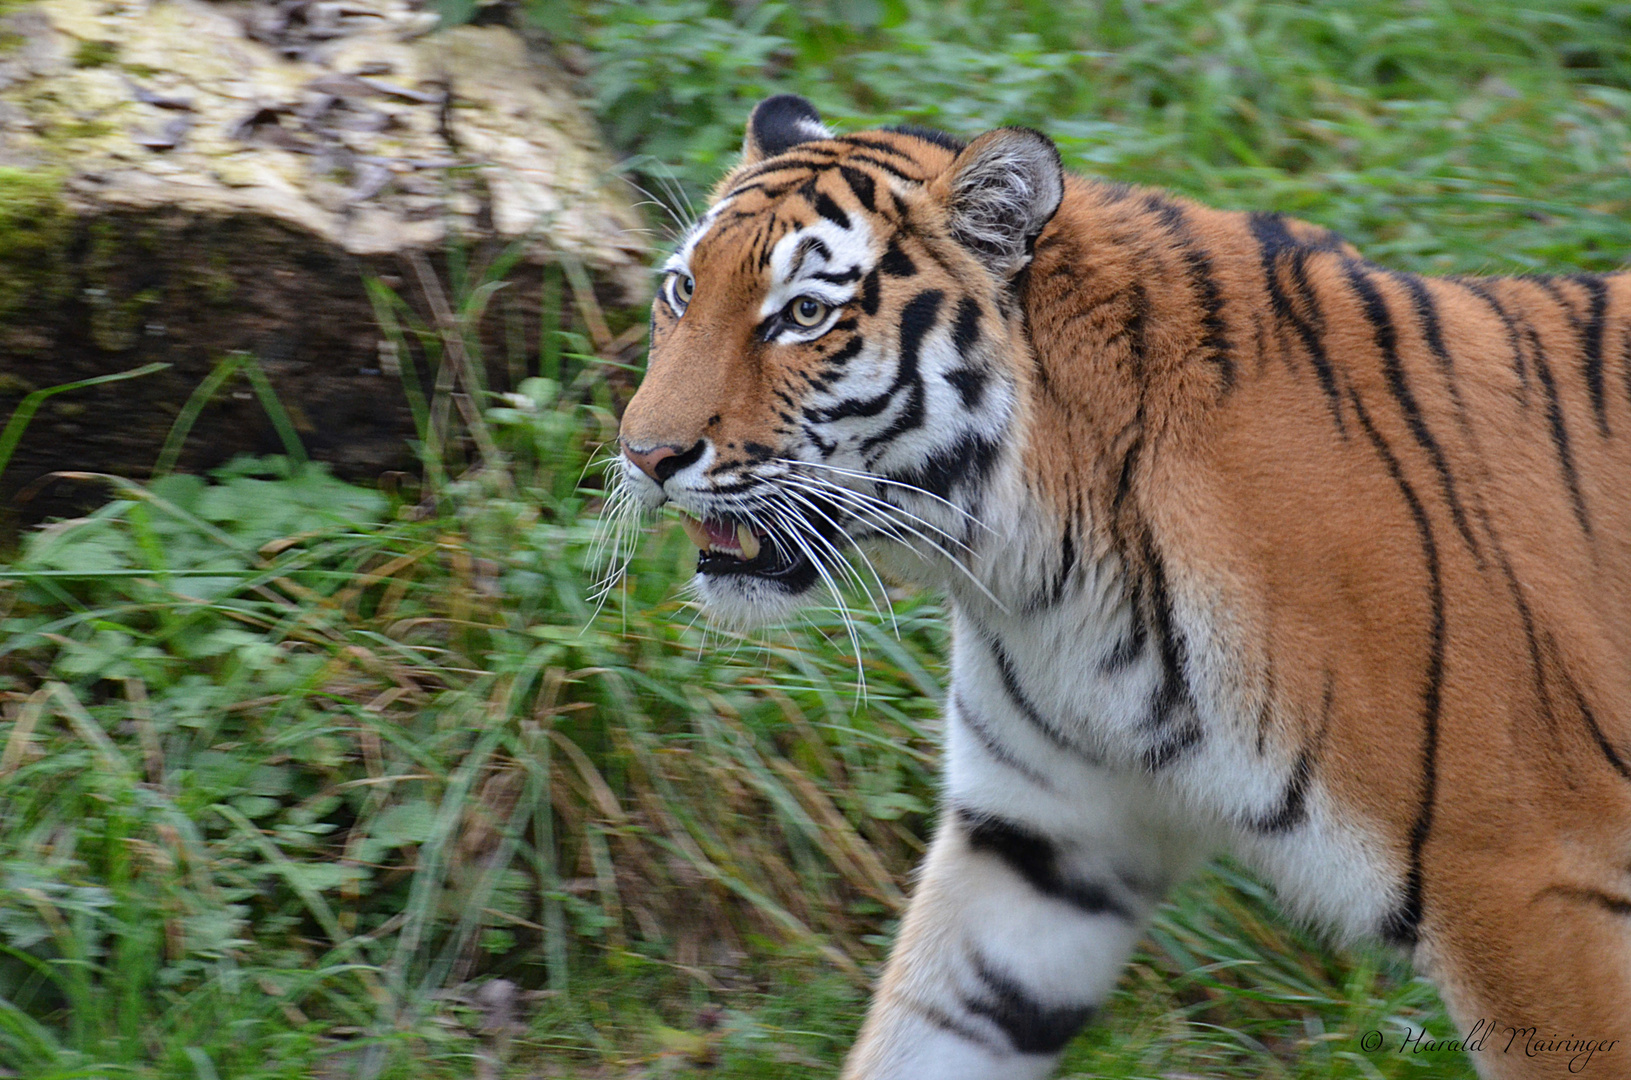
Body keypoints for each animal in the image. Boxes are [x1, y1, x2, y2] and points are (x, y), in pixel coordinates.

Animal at [606, 95, 1631, 1080]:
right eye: (681, 290)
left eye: (804, 316)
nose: (644, 455)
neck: (1043, 580)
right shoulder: (1039, 844)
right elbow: (924, 1034)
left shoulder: (1524, 887)